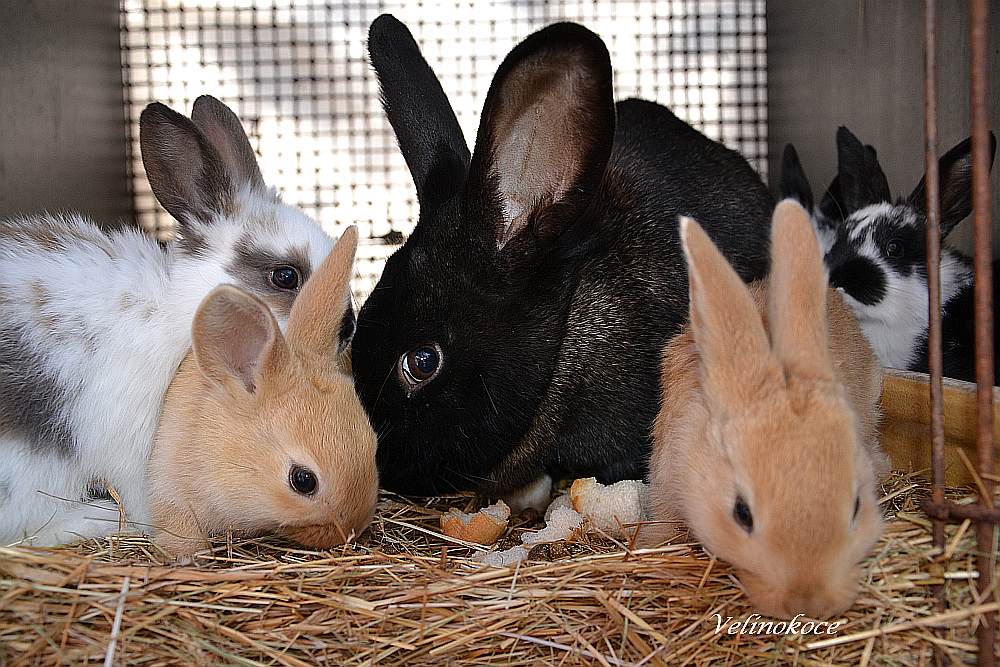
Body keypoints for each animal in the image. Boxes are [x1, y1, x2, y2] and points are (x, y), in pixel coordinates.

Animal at [0, 95, 344, 546]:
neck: (175, 309)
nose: (349, 327)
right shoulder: (132, 437)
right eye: (285, 276)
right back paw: (99, 519)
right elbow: (143, 492)